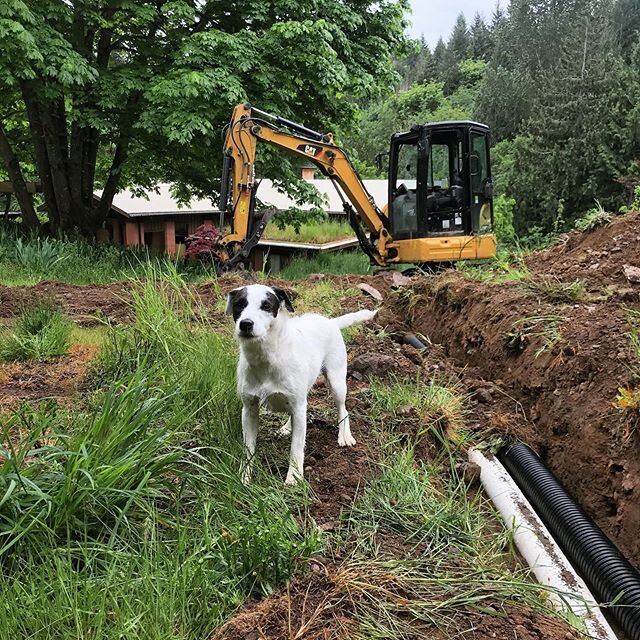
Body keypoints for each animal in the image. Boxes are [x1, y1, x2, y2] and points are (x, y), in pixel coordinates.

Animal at [226, 284, 378, 484]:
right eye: (239, 304)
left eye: (266, 305)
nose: (245, 324)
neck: (268, 356)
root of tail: (330, 322)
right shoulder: (249, 409)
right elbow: (248, 448)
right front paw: (244, 477)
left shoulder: (298, 407)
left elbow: (296, 448)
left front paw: (293, 479)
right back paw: (287, 427)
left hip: (337, 382)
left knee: (343, 409)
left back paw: (344, 435)